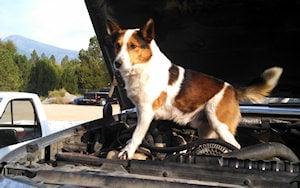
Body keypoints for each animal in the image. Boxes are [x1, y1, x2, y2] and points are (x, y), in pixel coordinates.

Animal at [106, 18, 282, 159]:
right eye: (117, 46)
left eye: (133, 46)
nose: (117, 63)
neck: (144, 67)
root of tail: (232, 89)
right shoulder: (139, 110)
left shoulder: (146, 112)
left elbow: (136, 135)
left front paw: (127, 152)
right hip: (207, 129)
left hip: (219, 123)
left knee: (236, 146)